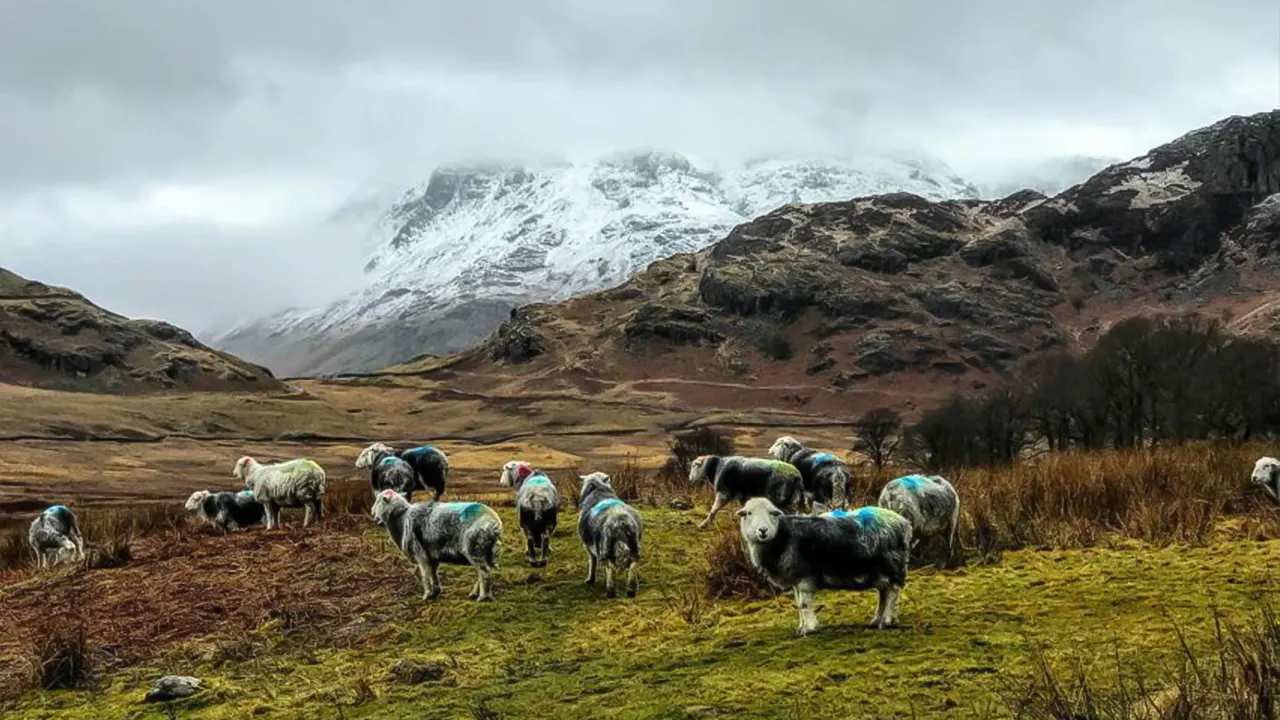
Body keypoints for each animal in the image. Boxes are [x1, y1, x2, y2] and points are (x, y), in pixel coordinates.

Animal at [368, 486, 501, 599]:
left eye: (379, 501)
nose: (372, 513)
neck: (401, 518)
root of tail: (494, 523)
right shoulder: (432, 553)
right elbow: (433, 572)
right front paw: (436, 591)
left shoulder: (420, 553)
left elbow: (425, 575)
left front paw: (427, 595)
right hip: (489, 550)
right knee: (485, 570)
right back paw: (477, 593)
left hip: (474, 548)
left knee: (484, 571)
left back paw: (483, 596)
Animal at [578, 468, 640, 597]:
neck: (599, 490)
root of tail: (621, 521)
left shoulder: (588, 546)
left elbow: (592, 561)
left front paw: (590, 579)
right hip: (634, 545)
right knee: (633, 564)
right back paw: (632, 589)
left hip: (606, 545)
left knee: (611, 567)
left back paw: (610, 591)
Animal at [737, 497, 916, 630]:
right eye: (748, 513)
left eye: (772, 514)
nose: (763, 530)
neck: (782, 537)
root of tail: (904, 523)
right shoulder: (796, 580)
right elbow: (799, 604)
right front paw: (801, 626)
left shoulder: (805, 576)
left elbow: (804, 603)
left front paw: (809, 628)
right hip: (881, 570)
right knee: (883, 593)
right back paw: (877, 619)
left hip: (891, 565)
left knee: (892, 592)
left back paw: (886, 620)